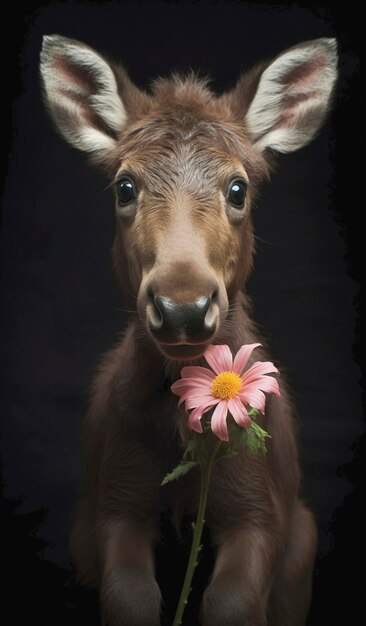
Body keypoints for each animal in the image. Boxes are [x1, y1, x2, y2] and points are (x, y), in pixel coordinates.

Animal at [40, 35, 338, 624]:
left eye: (238, 188)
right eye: (125, 186)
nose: (182, 307)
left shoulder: (262, 510)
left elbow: (231, 603)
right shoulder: (114, 502)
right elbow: (130, 598)